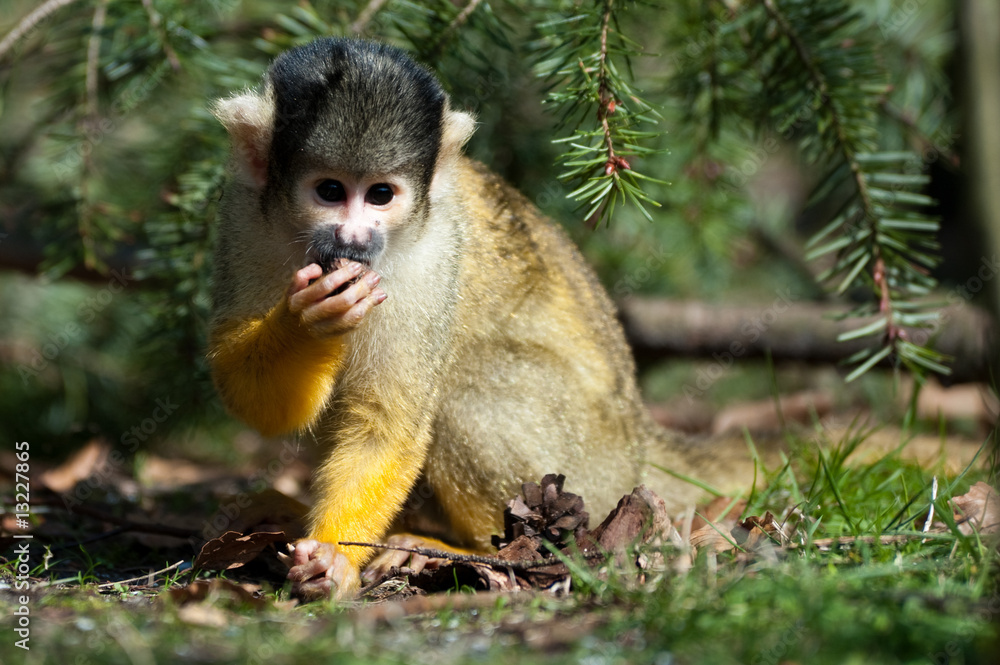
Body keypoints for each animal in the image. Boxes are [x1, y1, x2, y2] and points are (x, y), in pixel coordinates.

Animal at [208, 37, 763, 600]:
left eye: (381, 195)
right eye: (329, 191)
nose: (354, 239)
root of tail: (639, 436)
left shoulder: (432, 254)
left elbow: (388, 422)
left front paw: (334, 558)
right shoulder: (243, 218)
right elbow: (252, 400)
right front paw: (309, 323)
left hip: (593, 462)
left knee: (466, 393)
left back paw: (464, 550)